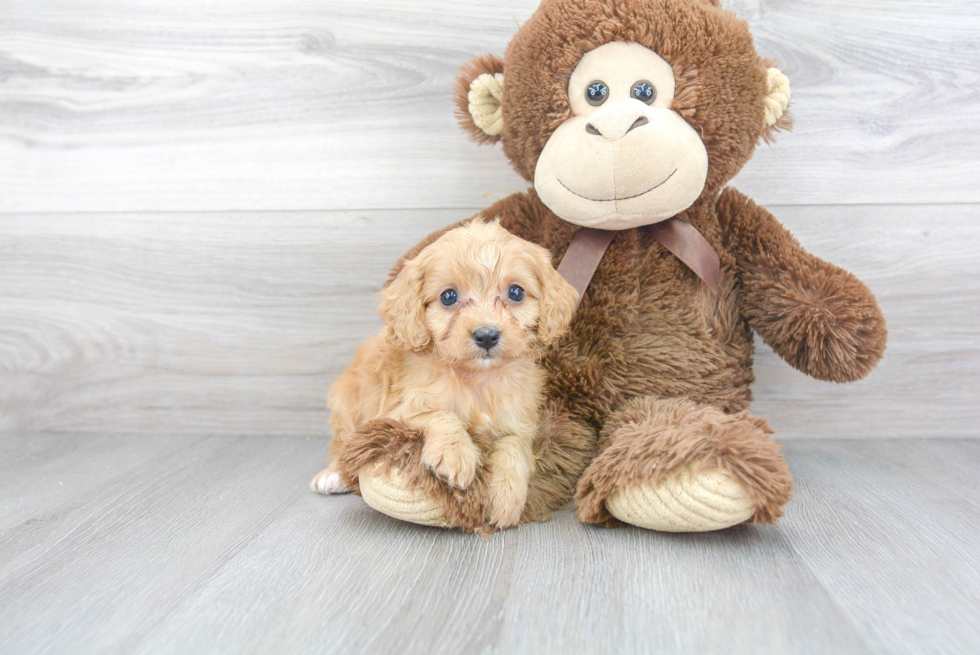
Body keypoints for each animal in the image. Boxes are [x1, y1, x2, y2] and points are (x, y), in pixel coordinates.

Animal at [310, 219, 580, 528]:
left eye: (516, 293)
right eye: (449, 297)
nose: (486, 336)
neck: (477, 379)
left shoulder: (520, 423)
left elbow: (514, 447)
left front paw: (507, 497)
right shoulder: (398, 411)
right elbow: (440, 414)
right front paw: (454, 455)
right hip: (346, 402)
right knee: (343, 443)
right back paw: (333, 475)